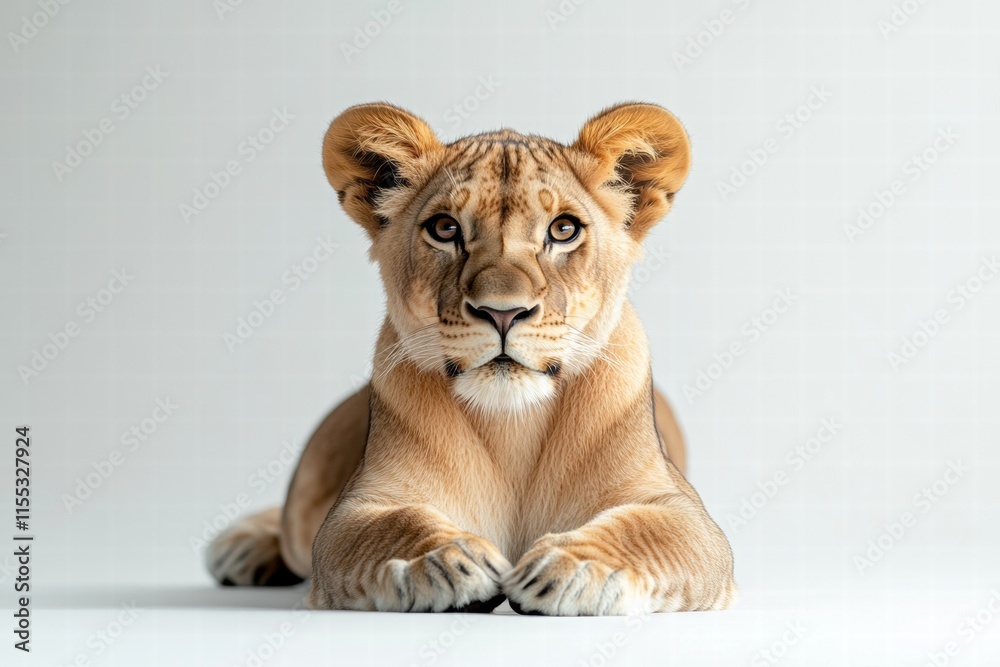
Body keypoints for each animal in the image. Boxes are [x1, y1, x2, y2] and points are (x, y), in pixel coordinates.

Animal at [206, 101, 736, 615]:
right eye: (445, 229)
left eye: (564, 229)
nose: (502, 312)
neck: (512, 427)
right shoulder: (356, 509)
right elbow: (393, 525)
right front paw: (450, 560)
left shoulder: (685, 512)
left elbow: (646, 531)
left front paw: (571, 568)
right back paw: (242, 547)